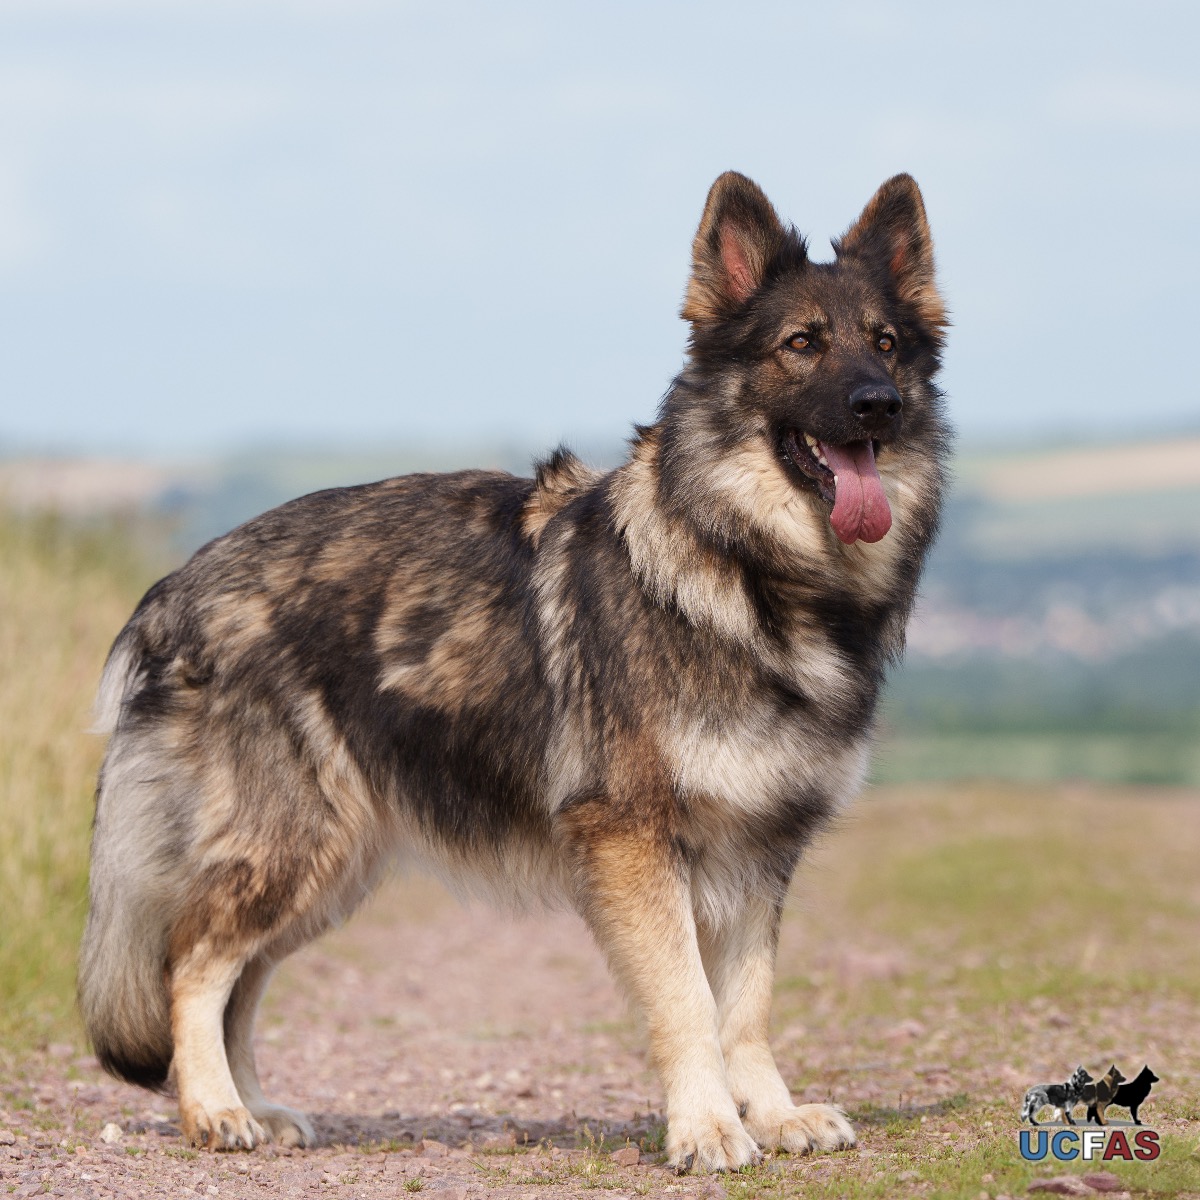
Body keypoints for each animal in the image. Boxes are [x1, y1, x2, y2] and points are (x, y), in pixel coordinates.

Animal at [78, 171, 949, 1173]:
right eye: (801, 344)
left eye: (886, 344)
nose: (879, 404)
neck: (744, 567)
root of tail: (177, 585)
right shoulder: (637, 839)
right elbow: (688, 999)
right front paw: (705, 1128)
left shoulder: (760, 848)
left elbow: (749, 1005)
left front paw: (772, 1115)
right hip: (290, 845)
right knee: (193, 963)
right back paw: (215, 1112)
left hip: (329, 868)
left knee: (242, 981)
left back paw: (256, 1107)